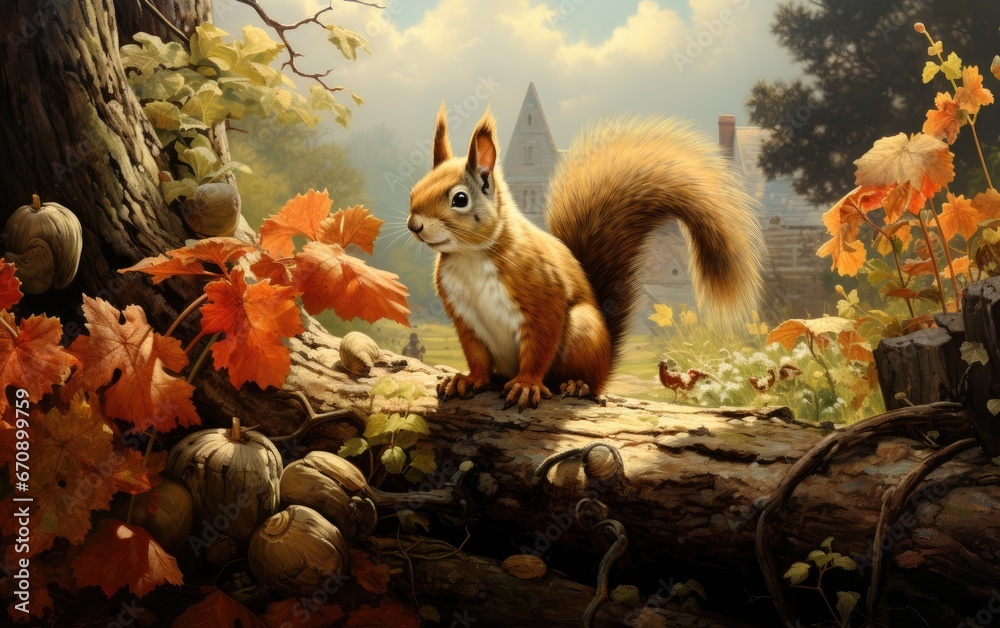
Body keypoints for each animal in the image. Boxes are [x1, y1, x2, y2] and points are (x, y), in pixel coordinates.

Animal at [407, 105, 764, 411]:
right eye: (413, 191)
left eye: (460, 199)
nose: (414, 225)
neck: (470, 256)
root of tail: (606, 361)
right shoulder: (464, 317)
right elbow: (476, 356)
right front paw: (468, 380)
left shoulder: (542, 295)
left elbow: (540, 346)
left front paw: (526, 385)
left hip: (583, 330)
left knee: (587, 381)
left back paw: (576, 385)